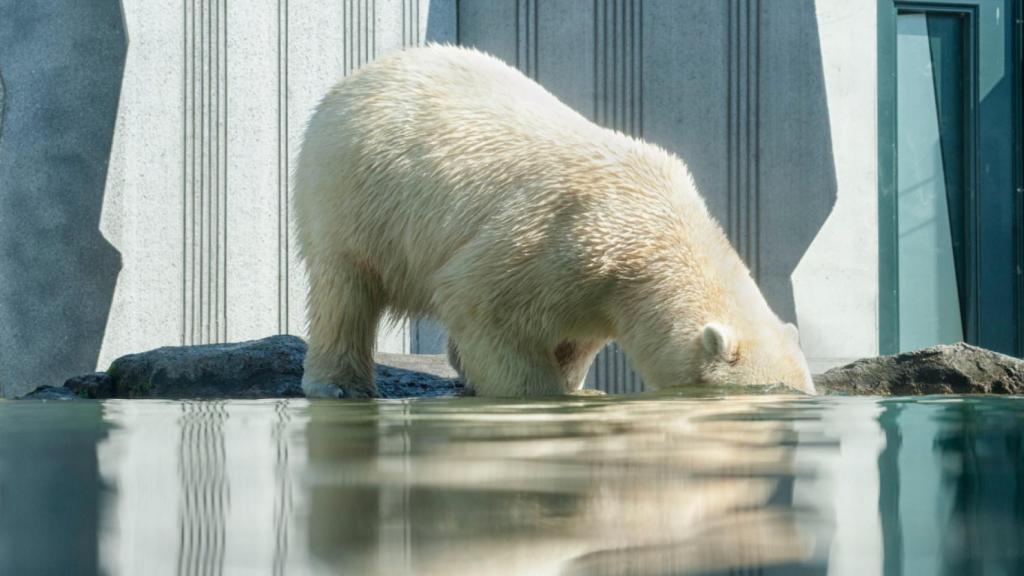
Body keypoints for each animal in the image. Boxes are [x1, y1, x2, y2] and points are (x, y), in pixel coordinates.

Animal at [290, 44, 815, 397]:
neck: (656, 232)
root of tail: (360, 74)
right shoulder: (562, 237)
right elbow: (479, 300)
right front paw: (541, 393)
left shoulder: (599, 289)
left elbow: (575, 337)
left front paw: (577, 386)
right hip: (353, 195)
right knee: (344, 289)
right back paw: (341, 384)